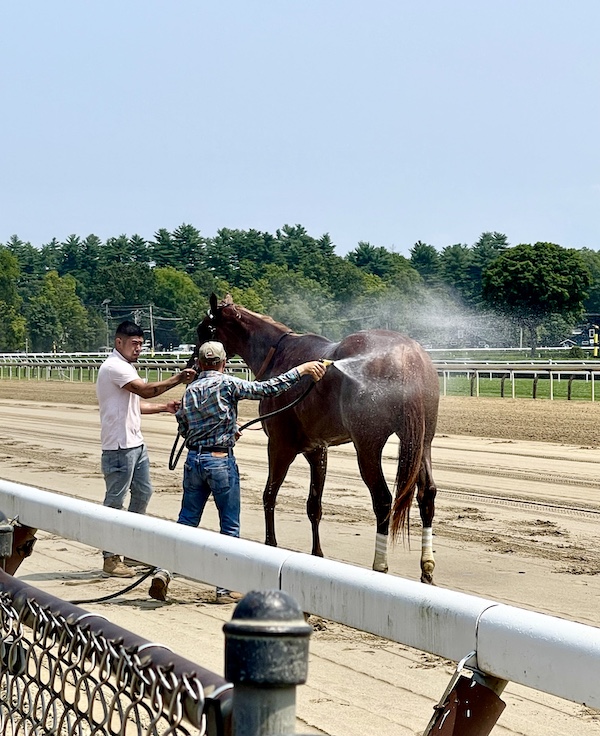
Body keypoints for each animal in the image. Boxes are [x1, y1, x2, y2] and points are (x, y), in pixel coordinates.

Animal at [194, 293, 440, 583]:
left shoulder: (279, 446)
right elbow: (314, 505)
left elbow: (269, 495)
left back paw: (380, 565)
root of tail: (407, 357)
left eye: (203, 330)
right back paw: (426, 566)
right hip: (422, 442)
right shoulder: (317, 450)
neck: (280, 355)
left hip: (368, 447)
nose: (194, 364)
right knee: (427, 494)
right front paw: (317, 555)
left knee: (382, 499)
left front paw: (271, 544)